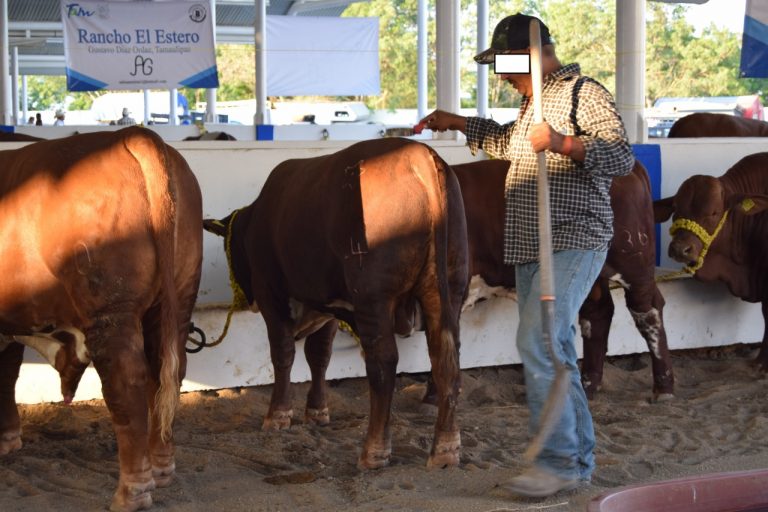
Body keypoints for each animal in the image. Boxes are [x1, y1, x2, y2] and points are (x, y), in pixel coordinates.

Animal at [0, 126, 203, 512]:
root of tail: (130, 134)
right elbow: (8, 371)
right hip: (179, 297)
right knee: (166, 373)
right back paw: (161, 469)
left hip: (110, 309)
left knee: (126, 380)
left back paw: (132, 492)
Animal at [203, 137, 468, 471]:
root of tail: (420, 155)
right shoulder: (326, 308)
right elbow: (319, 356)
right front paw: (317, 412)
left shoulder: (271, 296)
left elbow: (283, 354)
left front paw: (277, 415)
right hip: (449, 289)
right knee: (446, 360)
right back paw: (445, 449)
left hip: (373, 298)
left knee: (383, 363)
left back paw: (374, 451)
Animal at [446, 159, 673, 401]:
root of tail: (634, 167)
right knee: (598, 313)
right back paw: (588, 385)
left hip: (633, 262)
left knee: (647, 311)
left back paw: (663, 387)